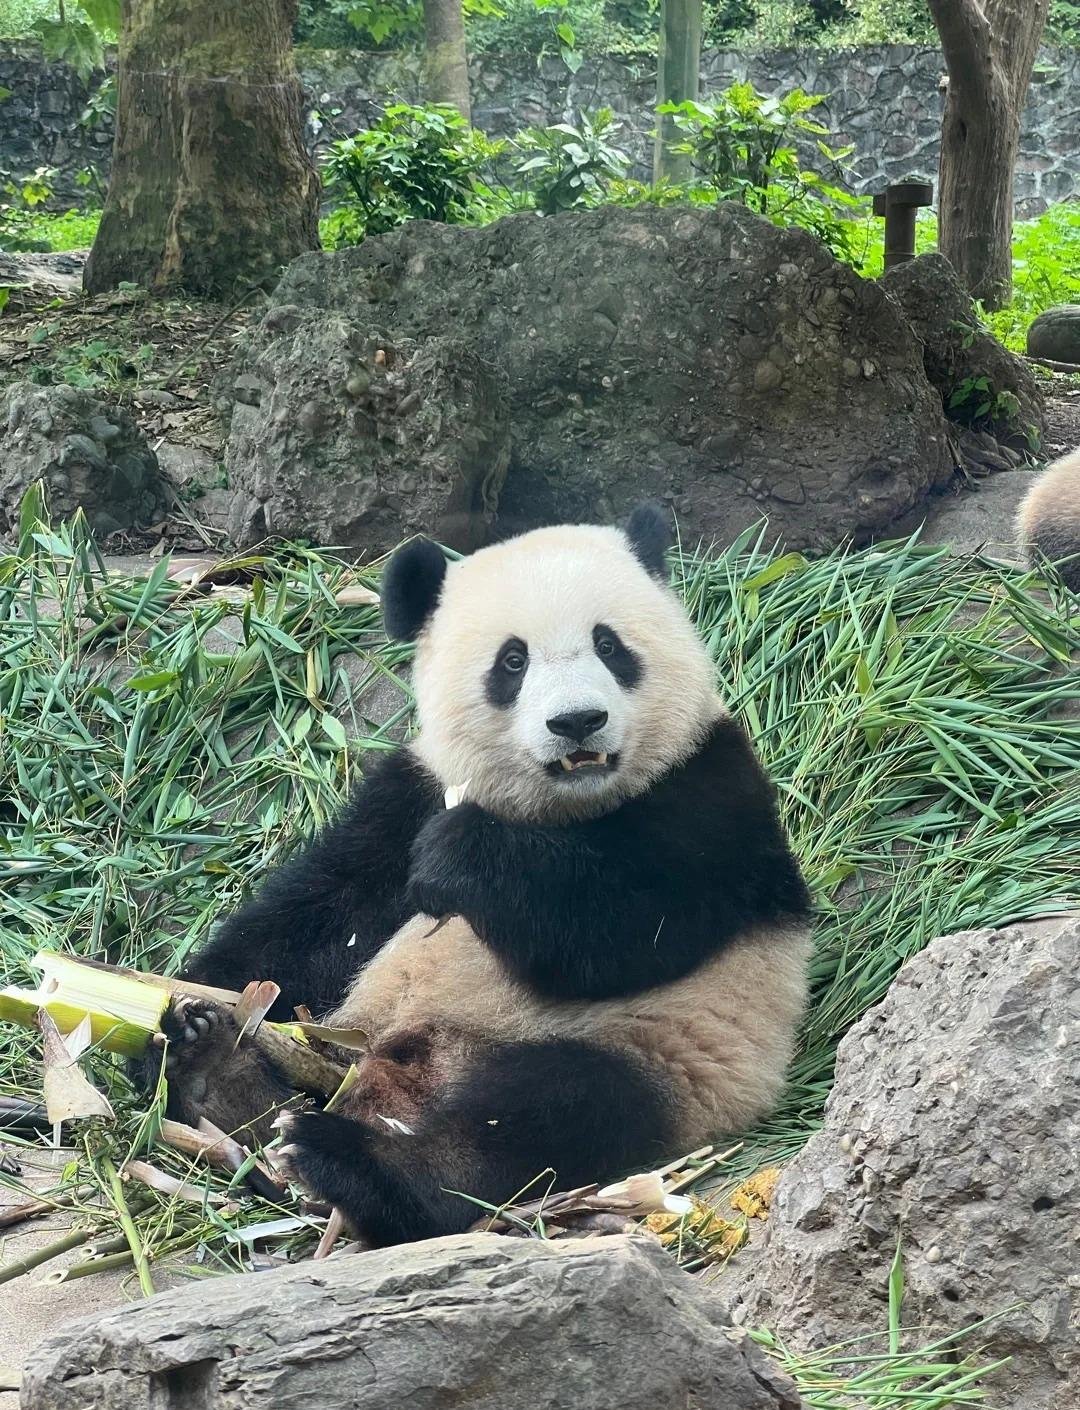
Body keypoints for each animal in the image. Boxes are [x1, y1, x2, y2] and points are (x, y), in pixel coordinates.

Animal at [158, 505, 812, 1247]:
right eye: (512, 660)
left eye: (609, 645)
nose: (578, 722)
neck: (557, 810)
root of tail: (405, 1076)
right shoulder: (411, 793)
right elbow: (318, 917)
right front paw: (174, 1008)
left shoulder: (712, 785)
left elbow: (637, 926)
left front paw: (463, 860)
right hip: (338, 1039)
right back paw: (219, 1074)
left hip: (658, 1051)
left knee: (545, 1117)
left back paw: (359, 1166)